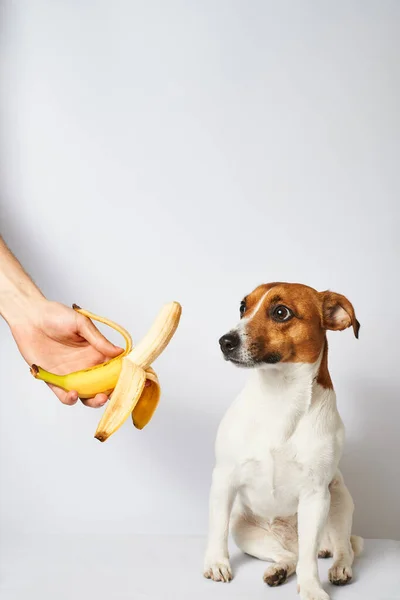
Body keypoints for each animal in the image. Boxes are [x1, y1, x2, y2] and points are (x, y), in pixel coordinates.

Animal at [205, 282, 364, 600]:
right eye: (243, 307)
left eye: (281, 312)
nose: (224, 341)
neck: (280, 396)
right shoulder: (224, 478)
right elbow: (217, 528)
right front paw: (216, 563)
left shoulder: (316, 494)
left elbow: (310, 561)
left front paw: (312, 588)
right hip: (245, 530)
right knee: (289, 556)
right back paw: (278, 570)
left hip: (339, 501)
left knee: (336, 549)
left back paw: (340, 568)